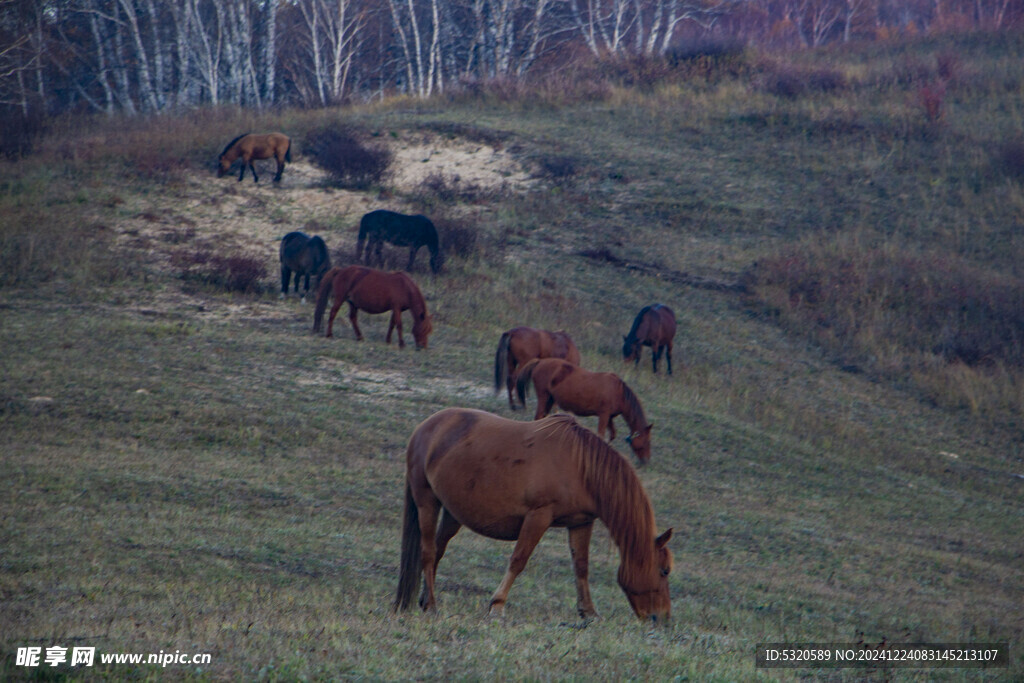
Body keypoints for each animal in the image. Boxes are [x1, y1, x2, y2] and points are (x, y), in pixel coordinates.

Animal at [391, 409, 671, 622]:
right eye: (664, 571)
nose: (663, 618)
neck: (581, 467)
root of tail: (424, 428)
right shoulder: (538, 517)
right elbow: (518, 560)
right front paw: (497, 605)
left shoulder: (581, 523)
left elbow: (581, 567)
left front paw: (589, 612)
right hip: (427, 501)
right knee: (428, 552)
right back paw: (432, 604)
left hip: (452, 513)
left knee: (438, 550)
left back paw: (425, 600)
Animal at [516, 358, 651, 464]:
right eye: (646, 442)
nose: (646, 461)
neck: (618, 392)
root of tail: (540, 361)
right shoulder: (604, 415)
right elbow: (601, 434)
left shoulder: (609, 417)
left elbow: (612, 434)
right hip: (544, 397)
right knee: (538, 417)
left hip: (550, 400)